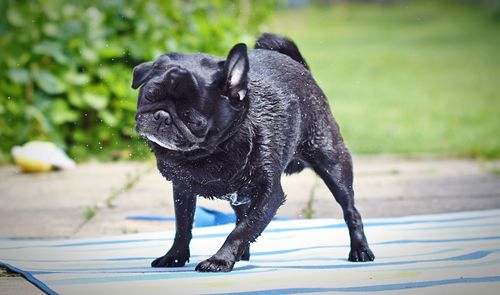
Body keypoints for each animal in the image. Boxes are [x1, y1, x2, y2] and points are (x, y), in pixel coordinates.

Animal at [133, 33, 376, 272]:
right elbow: (183, 225)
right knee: (240, 215)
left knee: (350, 210)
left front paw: (219, 260)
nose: (161, 116)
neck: (212, 151)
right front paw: (175, 256)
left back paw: (360, 250)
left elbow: (242, 230)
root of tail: (302, 68)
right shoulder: (182, 189)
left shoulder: (269, 194)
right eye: (149, 96)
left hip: (333, 165)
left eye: (191, 117)